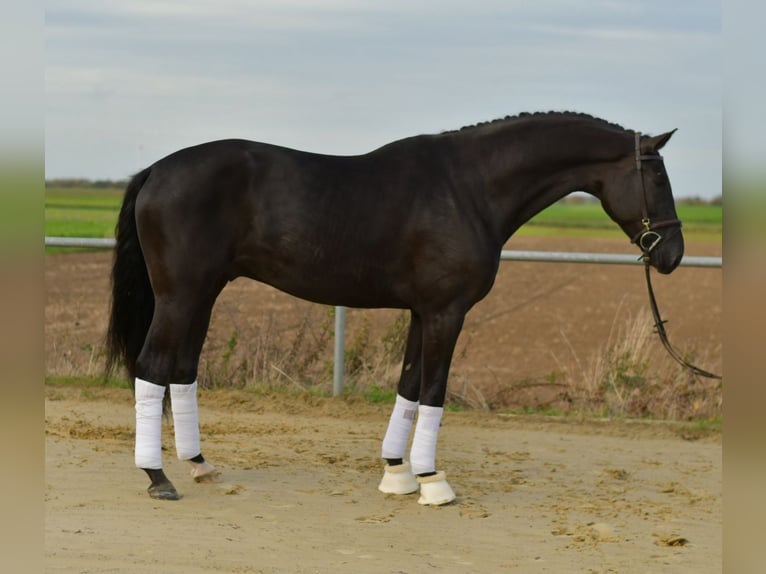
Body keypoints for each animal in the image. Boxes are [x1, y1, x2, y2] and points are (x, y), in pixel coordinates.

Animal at [105, 111, 683, 503]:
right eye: (657, 177)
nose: (672, 254)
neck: (469, 188)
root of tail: (157, 170)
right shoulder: (448, 312)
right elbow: (434, 390)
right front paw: (431, 481)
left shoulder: (423, 312)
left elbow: (408, 386)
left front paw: (397, 473)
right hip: (181, 295)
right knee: (153, 367)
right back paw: (157, 477)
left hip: (203, 293)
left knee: (182, 369)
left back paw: (200, 465)